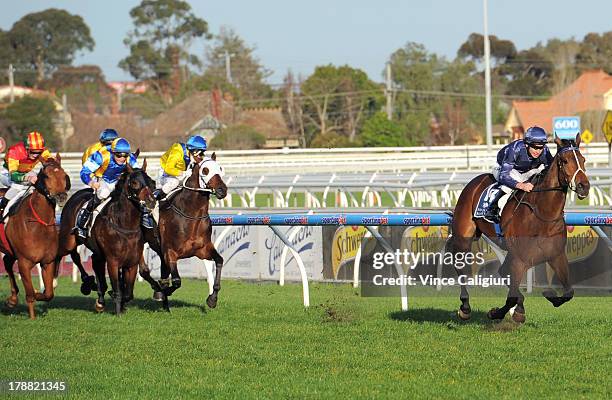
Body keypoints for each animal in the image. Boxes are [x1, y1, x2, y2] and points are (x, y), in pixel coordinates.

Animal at [1, 155, 70, 318]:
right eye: (46, 175)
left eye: (64, 175)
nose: (61, 196)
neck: (39, 224)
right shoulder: (24, 262)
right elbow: (30, 294)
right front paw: (32, 317)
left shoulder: (48, 261)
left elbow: (49, 293)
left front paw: (39, 293)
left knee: (7, 262)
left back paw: (12, 299)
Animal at [56, 161, 155, 314]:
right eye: (134, 183)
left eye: (151, 182)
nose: (151, 201)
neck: (125, 225)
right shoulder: (113, 261)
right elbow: (118, 288)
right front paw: (118, 310)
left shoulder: (132, 261)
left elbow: (128, 293)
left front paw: (116, 301)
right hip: (68, 239)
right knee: (73, 255)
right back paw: (86, 282)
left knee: (95, 261)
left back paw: (99, 297)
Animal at [140, 153, 228, 312]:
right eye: (205, 170)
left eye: (220, 168)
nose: (222, 190)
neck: (190, 215)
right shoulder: (170, 252)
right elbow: (176, 281)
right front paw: (163, 292)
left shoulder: (203, 249)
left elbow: (219, 261)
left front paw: (212, 299)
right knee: (143, 270)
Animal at [448, 136, 592, 324]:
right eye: (565, 161)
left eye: (583, 160)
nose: (584, 186)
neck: (542, 212)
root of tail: (474, 182)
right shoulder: (520, 257)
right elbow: (511, 297)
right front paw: (497, 313)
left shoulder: (555, 254)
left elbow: (569, 292)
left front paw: (548, 295)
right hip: (463, 236)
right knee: (460, 267)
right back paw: (465, 308)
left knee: (503, 272)